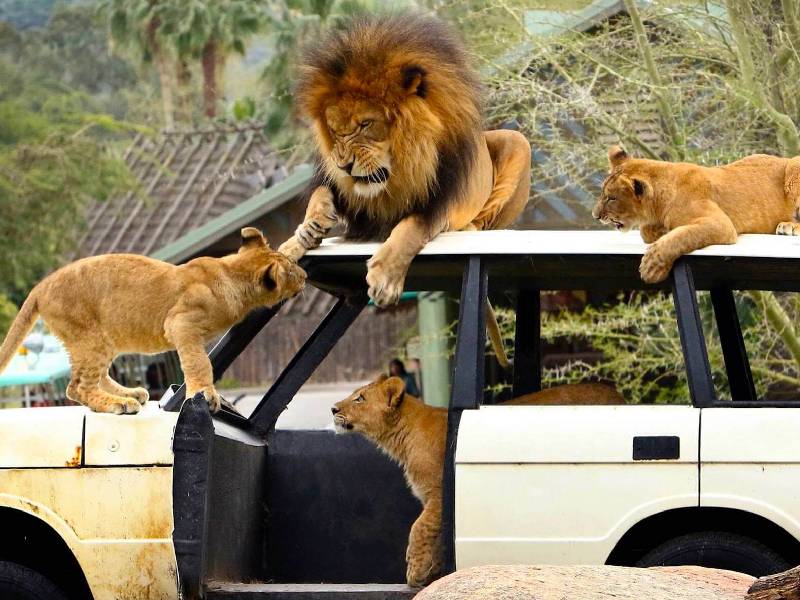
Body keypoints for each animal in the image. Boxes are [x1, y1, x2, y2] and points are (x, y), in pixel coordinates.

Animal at [0, 228, 305, 414]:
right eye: (291, 271)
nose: (304, 275)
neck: (233, 272)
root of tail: (40, 286)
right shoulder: (180, 324)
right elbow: (198, 362)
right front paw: (205, 395)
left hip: (103, 338)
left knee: (95, 377)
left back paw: (130, 394)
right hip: (89, 336)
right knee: (77, 387)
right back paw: (119, 404)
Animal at [277, 14, 531, 309]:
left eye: (365, 124)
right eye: (333, 130)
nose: (343, 166)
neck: (403, 168)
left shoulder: (438, 203)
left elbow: (410, 228)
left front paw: (386, 278)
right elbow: (320, 193)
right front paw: (302, 235)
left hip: (518, 141)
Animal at [331, 376, 623, 587]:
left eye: (359, 398)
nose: (333, 408)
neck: (401, 436)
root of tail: (615, 392)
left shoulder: (437, 493)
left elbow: (419, 529)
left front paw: (414, 572)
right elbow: (437, 535)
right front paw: (433, 572)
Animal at [593, 145, 800, 283]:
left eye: (611, 198)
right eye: (603, 194)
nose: (596, 216)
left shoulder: (721, 224)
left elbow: (684, 235)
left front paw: (651, 267)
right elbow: (646, 231)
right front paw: (661, 231)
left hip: (793, 164)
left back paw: (788, 226)